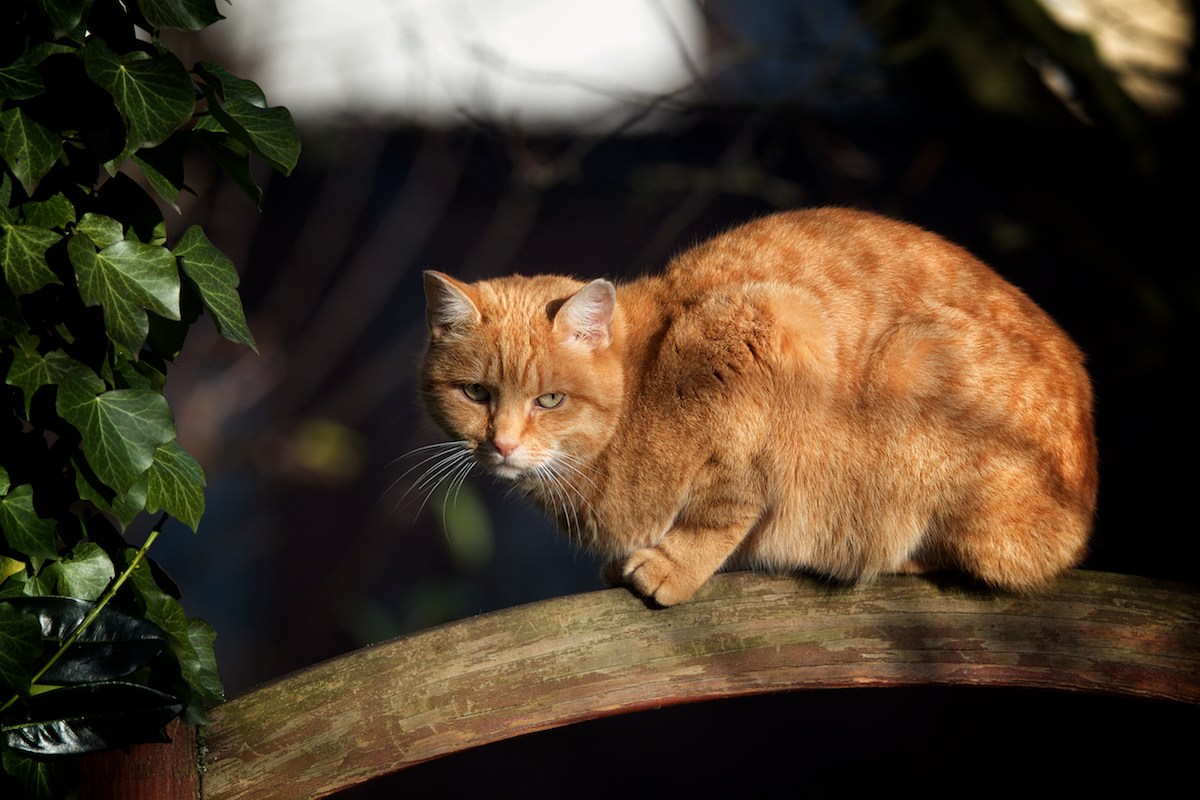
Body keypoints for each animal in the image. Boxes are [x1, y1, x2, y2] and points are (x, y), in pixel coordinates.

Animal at [420, 209, 1099, 604]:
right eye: (476, 394)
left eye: (550, 400)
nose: (503, 444)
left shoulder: (772, 331)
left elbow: (725, 504)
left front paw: (674, 565)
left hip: (908, 366)